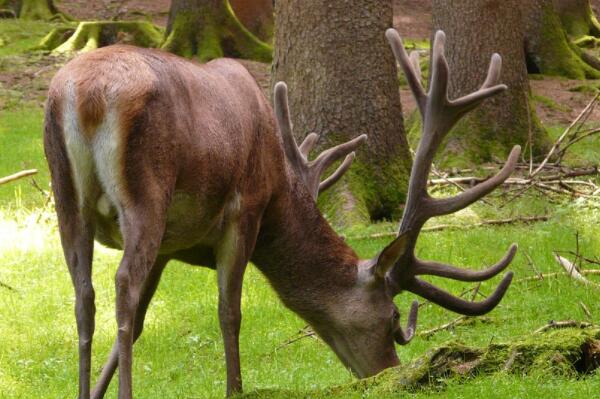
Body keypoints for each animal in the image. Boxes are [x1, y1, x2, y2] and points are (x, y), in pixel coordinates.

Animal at [44, 28, 516, 399]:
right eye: (393, 317)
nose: (388, 374)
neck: (279, 196)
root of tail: (85, 95)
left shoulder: (170, 244)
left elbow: (143, 319)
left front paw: (96, 392)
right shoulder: (245, 210)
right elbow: (229, 311)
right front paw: (235, 389)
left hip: (66, 194)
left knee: (84, 295)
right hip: (146, 193)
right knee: (122, 284)